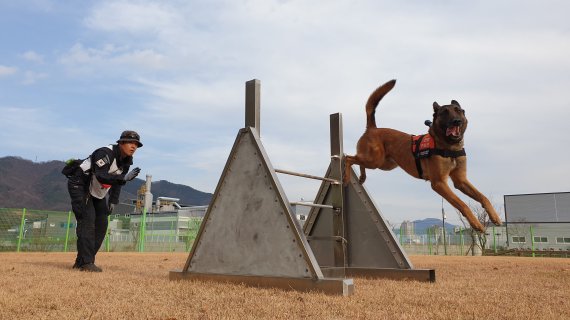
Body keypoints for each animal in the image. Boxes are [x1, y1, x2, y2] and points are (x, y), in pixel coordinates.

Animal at [342, 79, 496, 231]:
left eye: (459, 111)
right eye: (444, 113)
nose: (456, 121)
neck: (449, 146)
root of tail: (372, 128)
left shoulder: (461, 181)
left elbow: (483, 197)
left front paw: (494, 216)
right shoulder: (439, 183)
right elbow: (462, 204)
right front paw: (476, 223)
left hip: (383, 164)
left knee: (358, 160)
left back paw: (362, 176)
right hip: (375, 160)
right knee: (349, 158)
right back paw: (346, 177)